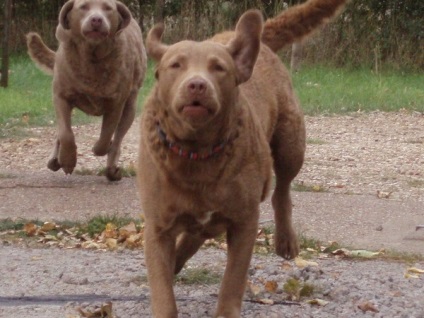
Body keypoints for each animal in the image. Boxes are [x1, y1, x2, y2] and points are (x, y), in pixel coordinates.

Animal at [27, 0, 147, 180]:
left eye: (108, 8)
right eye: (83, 6)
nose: (96, 19)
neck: (92, 58)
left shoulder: (115, 104)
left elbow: (106, 136)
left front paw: (100, 148)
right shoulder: (61, 96)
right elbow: (66, 134)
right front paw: (67, 160)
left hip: (130, 106)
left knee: (118, 138)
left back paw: (112, 169)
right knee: (62, 132)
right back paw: (56, 159)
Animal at [139, 0, 348, 316]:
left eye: (218, 68)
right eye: (176, 65)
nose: (197, 84)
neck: (197, 152)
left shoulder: (245, 220)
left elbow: (234, 277)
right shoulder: (157, 225)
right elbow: (162, 288)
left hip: (291, 142)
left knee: (282, 190)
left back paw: (285, 239)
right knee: (198, 232)